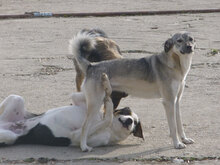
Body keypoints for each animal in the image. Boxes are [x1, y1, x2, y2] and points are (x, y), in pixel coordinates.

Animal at [0, 74, 143, 148]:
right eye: (127, 111)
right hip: (16, 98)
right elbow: (105, 100)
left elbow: (107, 119)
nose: (130, 121)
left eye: (136, 123)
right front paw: (106, 85)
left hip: (9, 136)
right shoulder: (79, 101)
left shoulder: (77, 136)